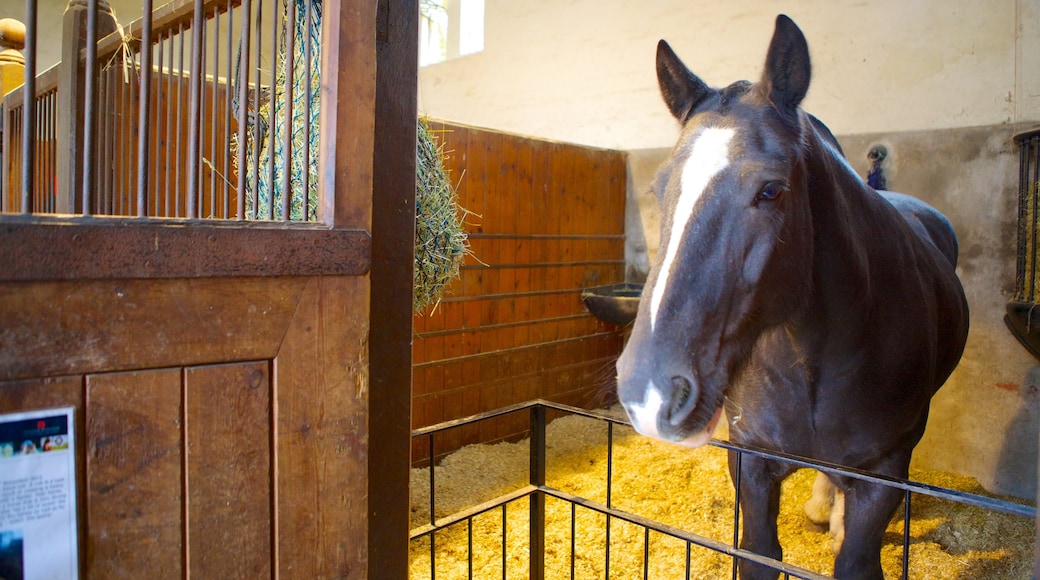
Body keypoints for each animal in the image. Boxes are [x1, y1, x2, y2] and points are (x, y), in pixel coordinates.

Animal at [615, 14, 965, 580]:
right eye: (659, 188)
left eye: (772, 190)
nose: (650, 393)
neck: (809, 351)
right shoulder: (751, 460)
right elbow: (760, 551)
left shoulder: (883, 475)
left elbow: (856, 558)